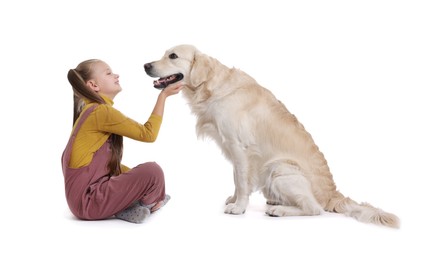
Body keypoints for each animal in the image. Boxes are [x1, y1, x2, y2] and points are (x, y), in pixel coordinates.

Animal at [145, 44, 400, 228]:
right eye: (164, 54)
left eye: (173, 56)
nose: (146, 65)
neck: (211, 87)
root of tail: (333, 194)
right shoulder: (236, 151)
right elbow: (238, 179)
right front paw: (235, 199)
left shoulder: (239, 147)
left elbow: (241, 180)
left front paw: (238, 207)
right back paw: (276, 201)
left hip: (279, 168)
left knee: (314, 208)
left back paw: (279, 209)